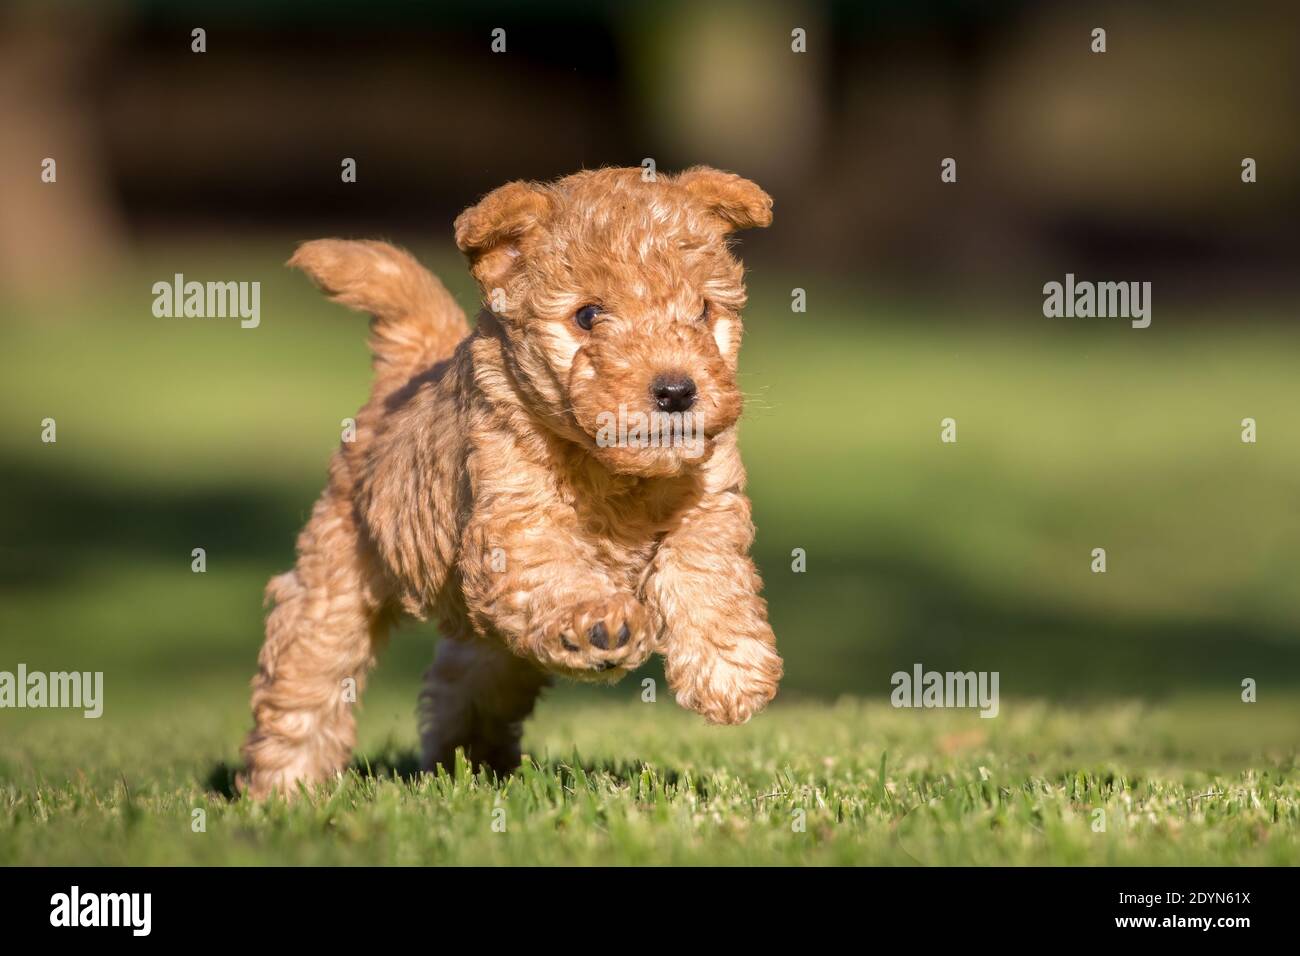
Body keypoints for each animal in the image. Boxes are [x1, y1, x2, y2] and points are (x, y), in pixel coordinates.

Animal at [239, 166, 780, 801]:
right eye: (588, 315)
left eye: (702, 311)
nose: (676, 391)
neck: (614, 470)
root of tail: (411, 368)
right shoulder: (514, 523)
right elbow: (558, 572)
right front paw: (600, 623)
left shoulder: (710, 499)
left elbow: (706, 569)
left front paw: (731, 672)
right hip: (338, 580)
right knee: (307, 678)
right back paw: (285, 787)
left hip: (488, 645)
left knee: (464, 683)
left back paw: (471, 765)